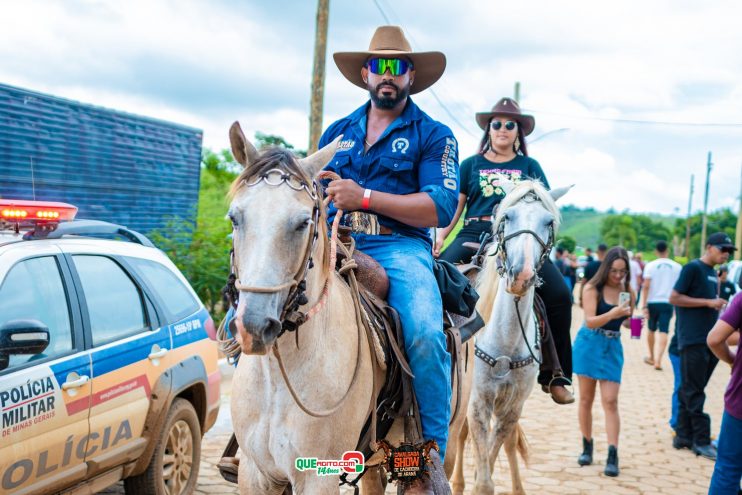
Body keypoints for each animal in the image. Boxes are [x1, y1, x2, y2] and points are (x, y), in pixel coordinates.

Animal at [225, 121, 470, 495]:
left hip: (452, 440)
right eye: (235, 218)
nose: (253, 326)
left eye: (302, 222)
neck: (280, 378)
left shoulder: (316, 477)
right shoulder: (255, 472)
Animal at [464, 181, 568, 495]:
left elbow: (489, 463)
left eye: (548, 222)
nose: (521, 276)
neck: (505, 342)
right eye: (507, 216)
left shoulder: (512, 406)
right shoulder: (477, 403)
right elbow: (482, 478)